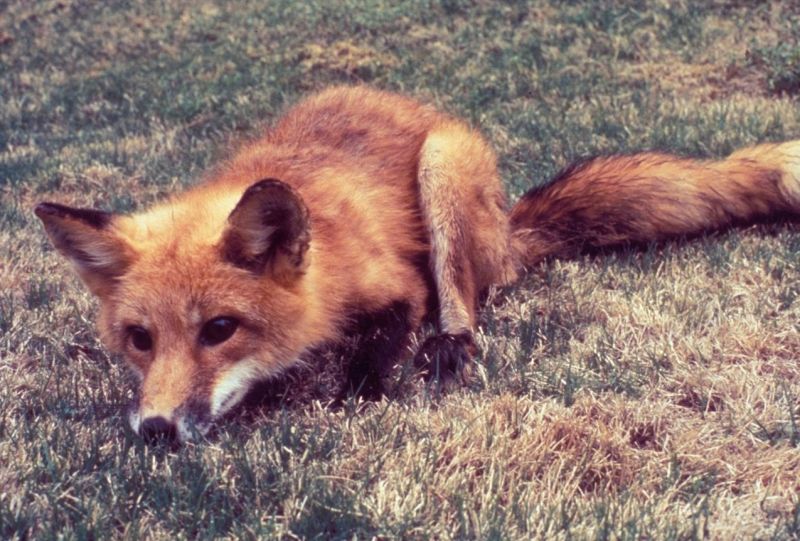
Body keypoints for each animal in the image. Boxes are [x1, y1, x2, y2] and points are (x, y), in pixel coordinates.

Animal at [36, 86, 800, 442]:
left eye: (219, 329)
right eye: (140, 339)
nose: (157, 431)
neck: (328, 260)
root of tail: (510, 227)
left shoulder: (394, 282)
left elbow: (384, 339)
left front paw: (360, 385)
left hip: (443, 171)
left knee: (464, 296)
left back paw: (451, 343)